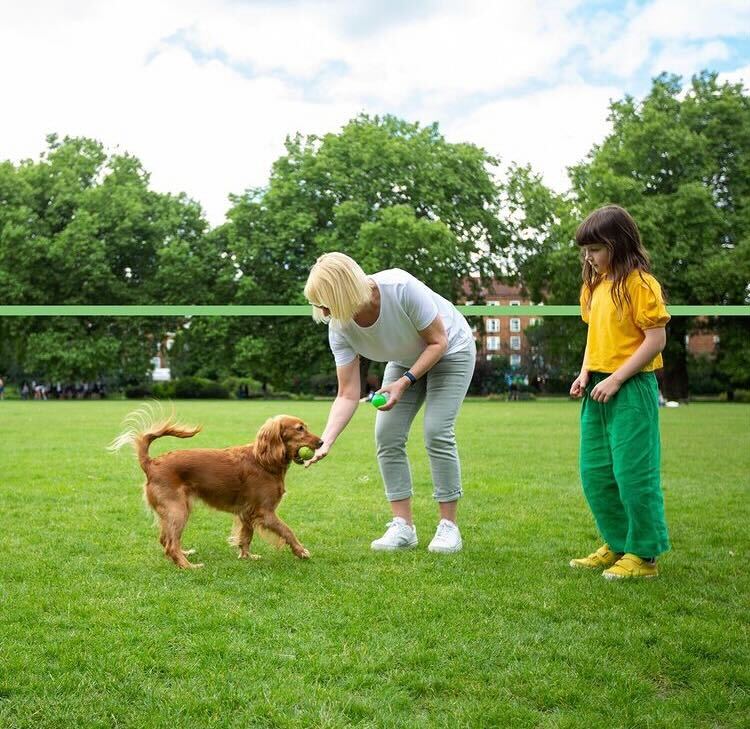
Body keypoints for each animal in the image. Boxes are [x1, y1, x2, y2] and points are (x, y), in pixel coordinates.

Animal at [109, 406, 324, 564]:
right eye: (299, 428)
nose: (322, 442)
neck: (263, 460)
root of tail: (151, 463)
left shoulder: (247, 512)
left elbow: (246, 536)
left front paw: (246, 556)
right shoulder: (265, 512)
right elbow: (287, 531)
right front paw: (301, 551)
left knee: (165, 540)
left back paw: (184, 554)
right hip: (177, 510)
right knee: (170, 544)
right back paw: (189, 566)